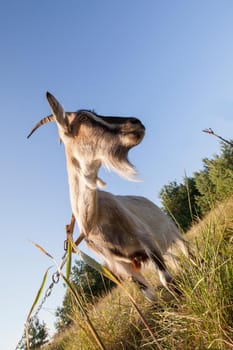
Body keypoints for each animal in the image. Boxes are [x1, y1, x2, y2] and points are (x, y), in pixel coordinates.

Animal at [28, 91, 190, 300]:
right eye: (84, 118)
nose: (136, 122)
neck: (93, 221)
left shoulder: (145, 238)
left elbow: (167, 280)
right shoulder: (121, 266)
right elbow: (150, 295)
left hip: (172, 231)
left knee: (189, 251)